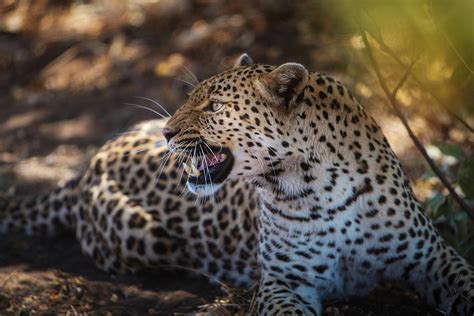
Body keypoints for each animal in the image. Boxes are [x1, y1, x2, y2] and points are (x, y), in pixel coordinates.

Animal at [0, 54, 472, 316]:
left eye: (214, 106)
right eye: (192, 100)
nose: (167, 133)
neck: (321, 185)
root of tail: (91, 162)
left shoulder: (430, 255)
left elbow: (464, 280)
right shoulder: (283, 282)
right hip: (141, 236)